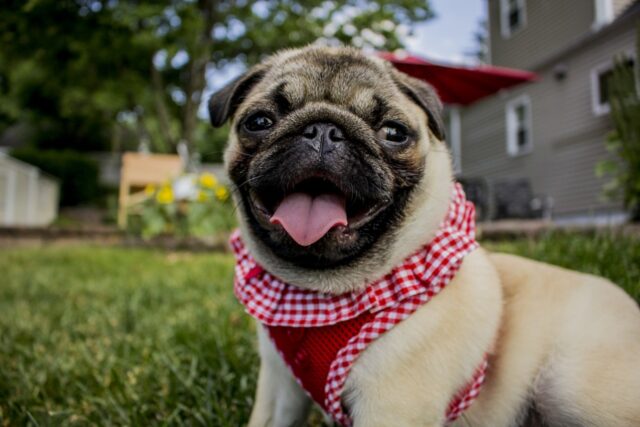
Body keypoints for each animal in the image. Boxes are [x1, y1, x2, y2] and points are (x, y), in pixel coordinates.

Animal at [209, 45, 640, 426]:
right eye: (259, 122)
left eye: (394, 133)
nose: (323, 130)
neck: (319, 294)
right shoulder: (279, 389)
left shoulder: (392, 406)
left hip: (573, 387)